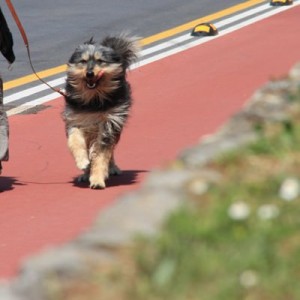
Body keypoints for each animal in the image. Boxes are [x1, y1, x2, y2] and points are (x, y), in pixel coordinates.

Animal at [63, 35, 139, 189]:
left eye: (100, 61)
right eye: (83, 61)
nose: (89, 73)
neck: (93, 100)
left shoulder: (109, 124)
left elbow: (101, 155)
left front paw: (97, 179)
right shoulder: (75, 120)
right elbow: (75, 141)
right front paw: (82, 162)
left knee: (110, 150)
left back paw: (112, 168)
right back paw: (85, 173)